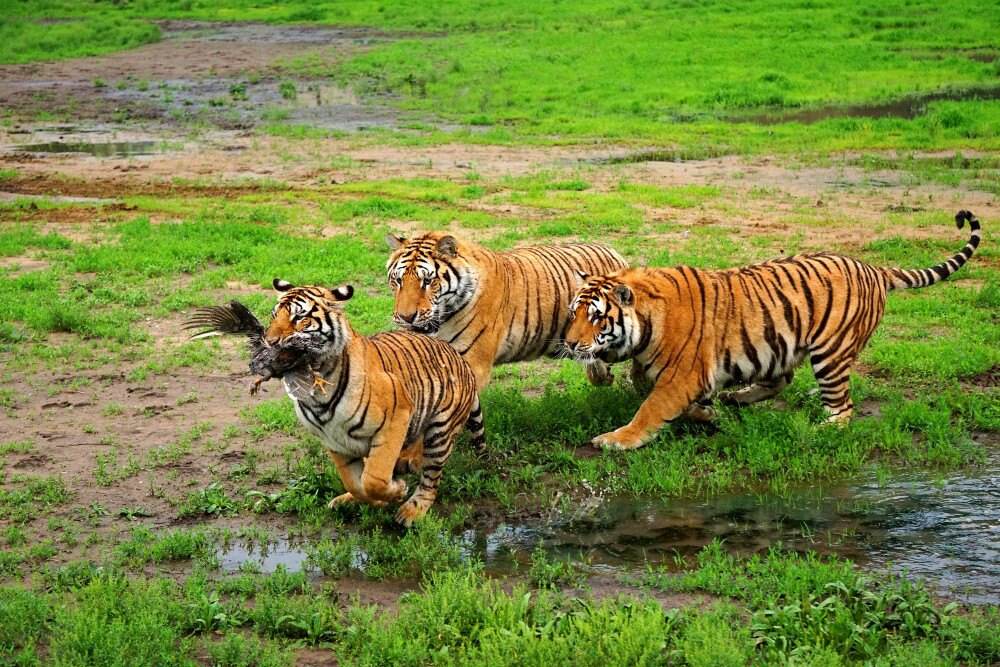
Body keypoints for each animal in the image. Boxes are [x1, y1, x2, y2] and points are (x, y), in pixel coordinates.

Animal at [188, 280, 488, 524]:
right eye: (274, 316)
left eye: (299, 317)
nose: (268, 341)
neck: (317, 390)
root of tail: (456, 355)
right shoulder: (335, 441)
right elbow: (357, 484)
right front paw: (373, 497)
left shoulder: (395, 418)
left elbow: (374, 478)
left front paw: (397, 491)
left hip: (440, 430)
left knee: (430, 477)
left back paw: (412, 509)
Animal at [568, 209, 980, 452]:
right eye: (573, 313)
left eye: (596, 317)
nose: (570, 344)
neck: (647, 324)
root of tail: (874, 268)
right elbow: (642, 382)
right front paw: (707, 413)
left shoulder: (682, 375)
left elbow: (650, 407)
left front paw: (615, 440)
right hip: (777, 345)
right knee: (783, 379)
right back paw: (738, 398)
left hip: (830, 353)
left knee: (842, 408)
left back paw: (819, 430)